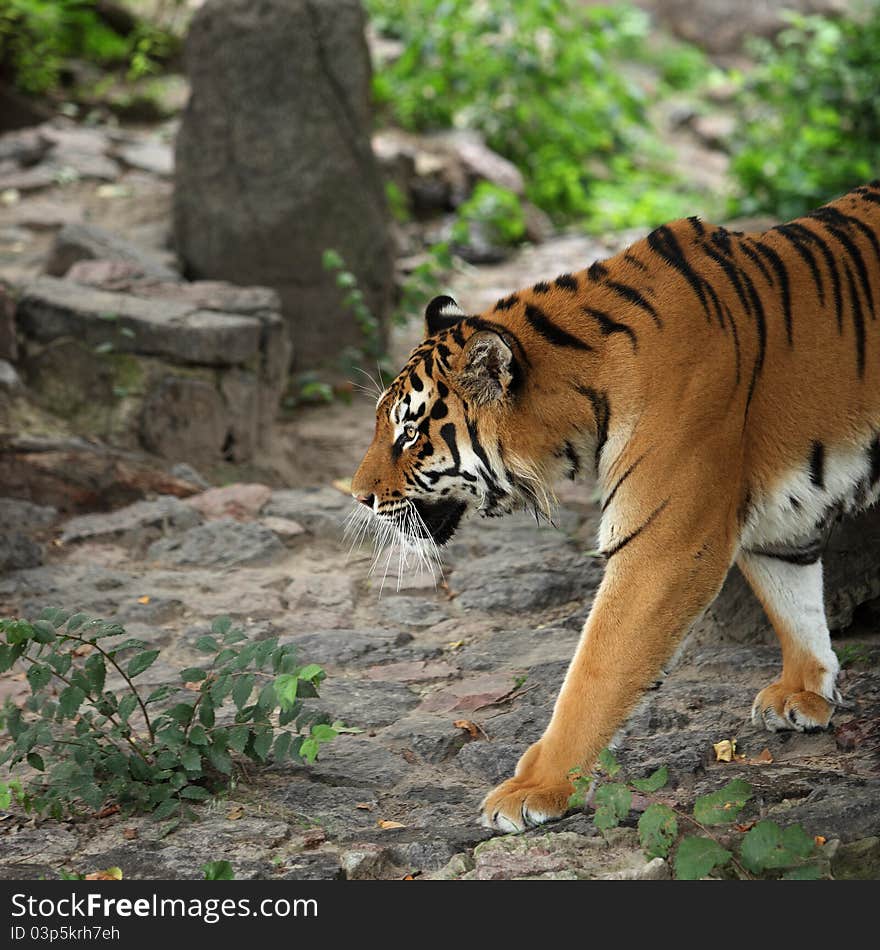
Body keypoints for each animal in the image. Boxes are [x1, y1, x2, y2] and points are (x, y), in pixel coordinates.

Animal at [348, 178, 880, 832]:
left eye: (409, 434)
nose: (358, 496)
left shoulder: (667, 540)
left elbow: (595, 671)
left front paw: (533, 789)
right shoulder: (774, 510)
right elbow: (793, 597)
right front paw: (806, 691)